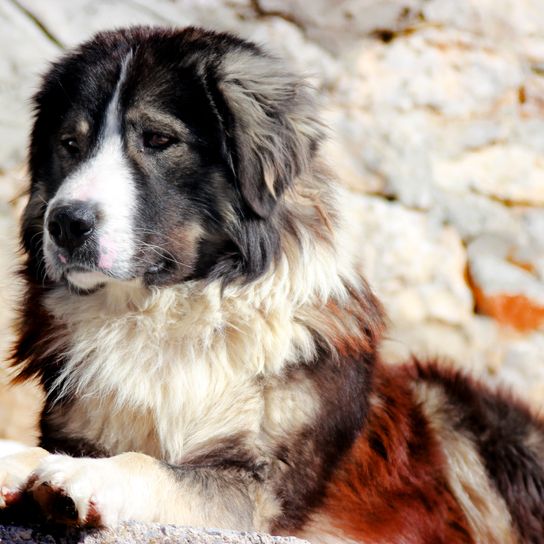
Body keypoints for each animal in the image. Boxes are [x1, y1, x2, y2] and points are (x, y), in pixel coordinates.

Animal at [1, 26, 544, 544]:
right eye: (70, 145)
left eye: (157, 140)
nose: (66, 223)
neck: (164, 312)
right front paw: (19, 462)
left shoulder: (259, 492)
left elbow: (153, 467)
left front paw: (83, 475)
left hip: (462, 415)